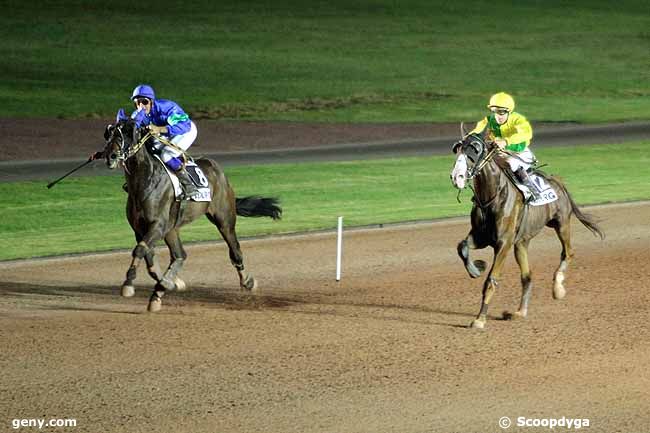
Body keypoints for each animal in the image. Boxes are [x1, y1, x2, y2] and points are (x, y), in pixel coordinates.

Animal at [102, 118, 280, 310]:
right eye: (110, 133)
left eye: (129, 132)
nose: (111, 156)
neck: (145, 181)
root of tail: (217, 170)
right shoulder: (140, 229)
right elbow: (148, 256)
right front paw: (169, 284)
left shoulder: (157, 225)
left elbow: (140, 250)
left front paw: (128, 285)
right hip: (173, 229)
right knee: (180, 255)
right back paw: (161, 292)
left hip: (224, 220)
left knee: (235, 251)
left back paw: (247, 281)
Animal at [448, 131, 600, 328]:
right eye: (457, 148)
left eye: (475, 148)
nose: (457, 176)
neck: (492, 197)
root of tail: (557, 181)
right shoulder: (481, 237)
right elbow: (462, 247)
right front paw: (477, 268)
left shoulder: (503, 243)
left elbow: (491, 279)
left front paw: (480, 319)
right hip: (521, 243)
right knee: (527, 276)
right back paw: (520, 312)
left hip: (561, 223)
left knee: (568, 252)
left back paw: (558, 288)